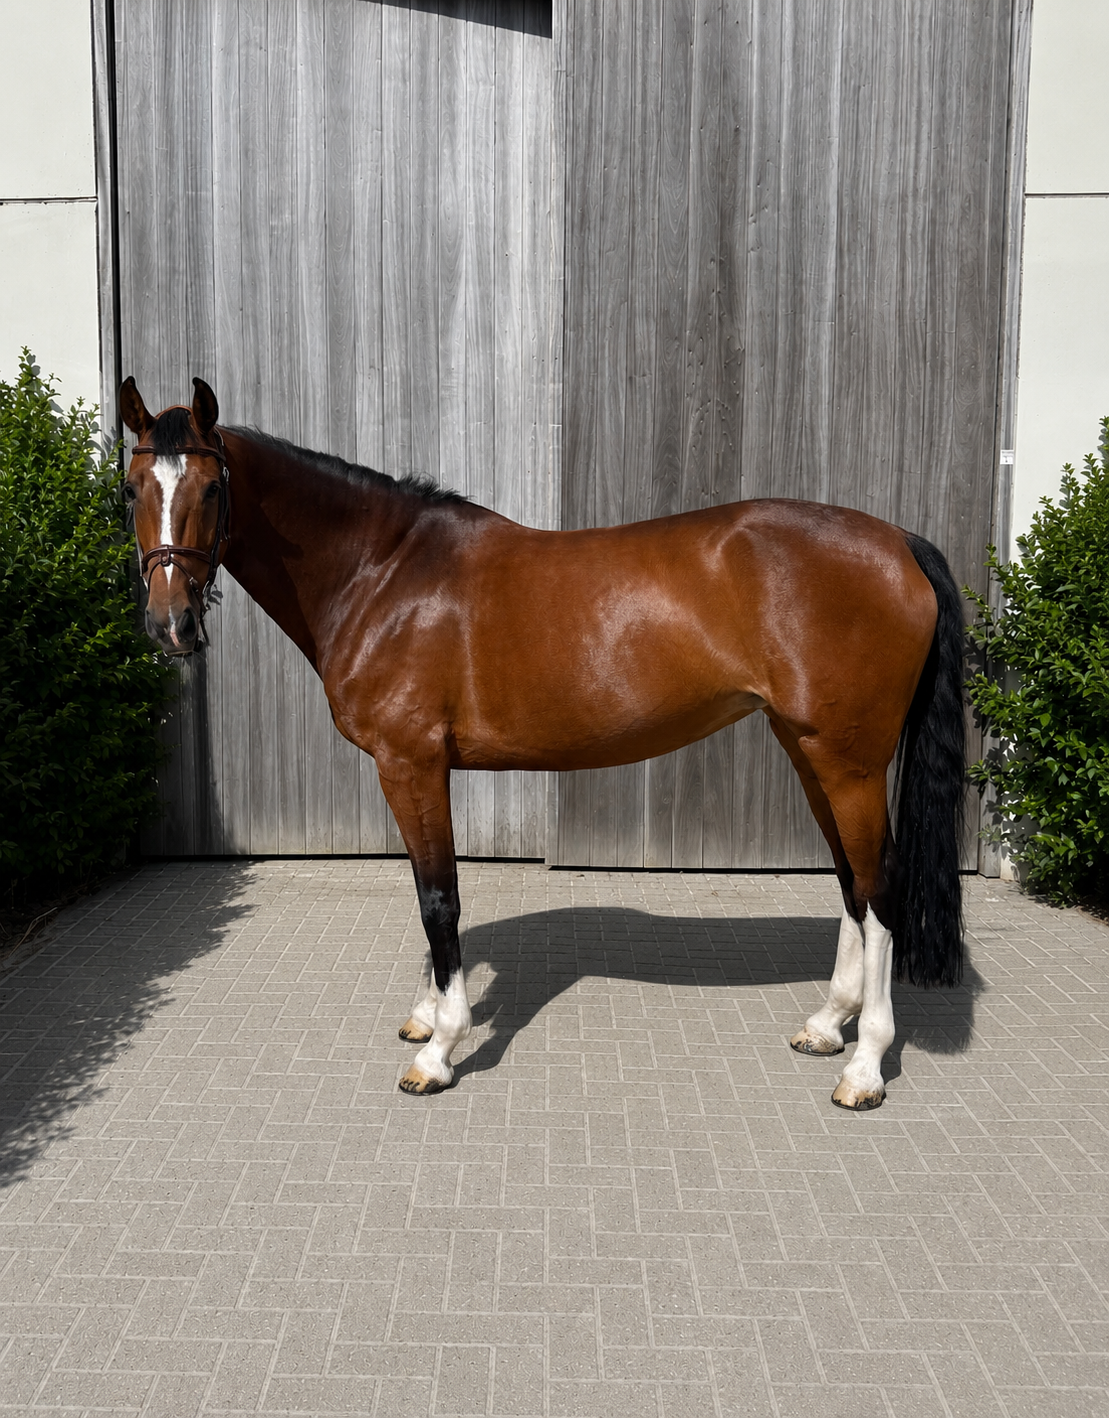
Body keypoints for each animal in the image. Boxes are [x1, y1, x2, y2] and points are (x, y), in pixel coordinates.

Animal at [120, 376, 965, 1110]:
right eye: (132, 489)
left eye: (211, 489)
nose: (170, 625)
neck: (384, 575)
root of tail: (898, 541)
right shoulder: (418, 770)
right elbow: (428, 893)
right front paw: (426, 1017)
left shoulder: (411, 763)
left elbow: (438, 898)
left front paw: (439, 1050)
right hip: (808, 751)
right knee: (851, 884)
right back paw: (826, 1026)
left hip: (848, 762)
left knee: (879, 886)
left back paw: (864, 1067)